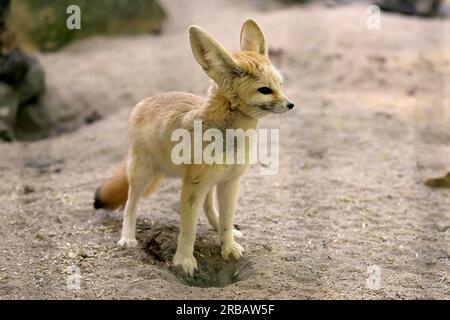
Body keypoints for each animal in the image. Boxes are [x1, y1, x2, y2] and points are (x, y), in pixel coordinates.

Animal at [93, 19, 294, 276]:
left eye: (280, 84)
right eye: (265, 90)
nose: (291, 104)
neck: (231, 139)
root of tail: (146, 101)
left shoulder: (230, 182)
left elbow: (226, 219)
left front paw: (227, 246)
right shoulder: (194, 186)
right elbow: (187, 229)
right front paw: (184, 260)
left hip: (207, 182)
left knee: (210, 209)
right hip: (143, 175)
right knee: (130, 205)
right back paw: (127, 238)